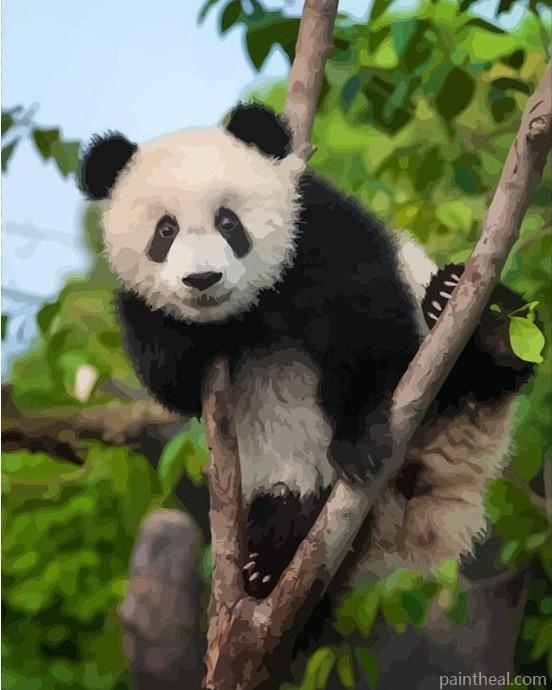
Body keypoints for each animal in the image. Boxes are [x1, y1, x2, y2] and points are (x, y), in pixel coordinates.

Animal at [79, 103, 534, 599]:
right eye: (166, 231)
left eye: (228, 222)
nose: (203, 280)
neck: (246, 312)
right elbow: (172, 383)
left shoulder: (317, 232)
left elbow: (366, 328)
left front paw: (358, 442)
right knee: (286, 501)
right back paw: (271, 559)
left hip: (454, 372)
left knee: (482, 361)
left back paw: (474, 316)